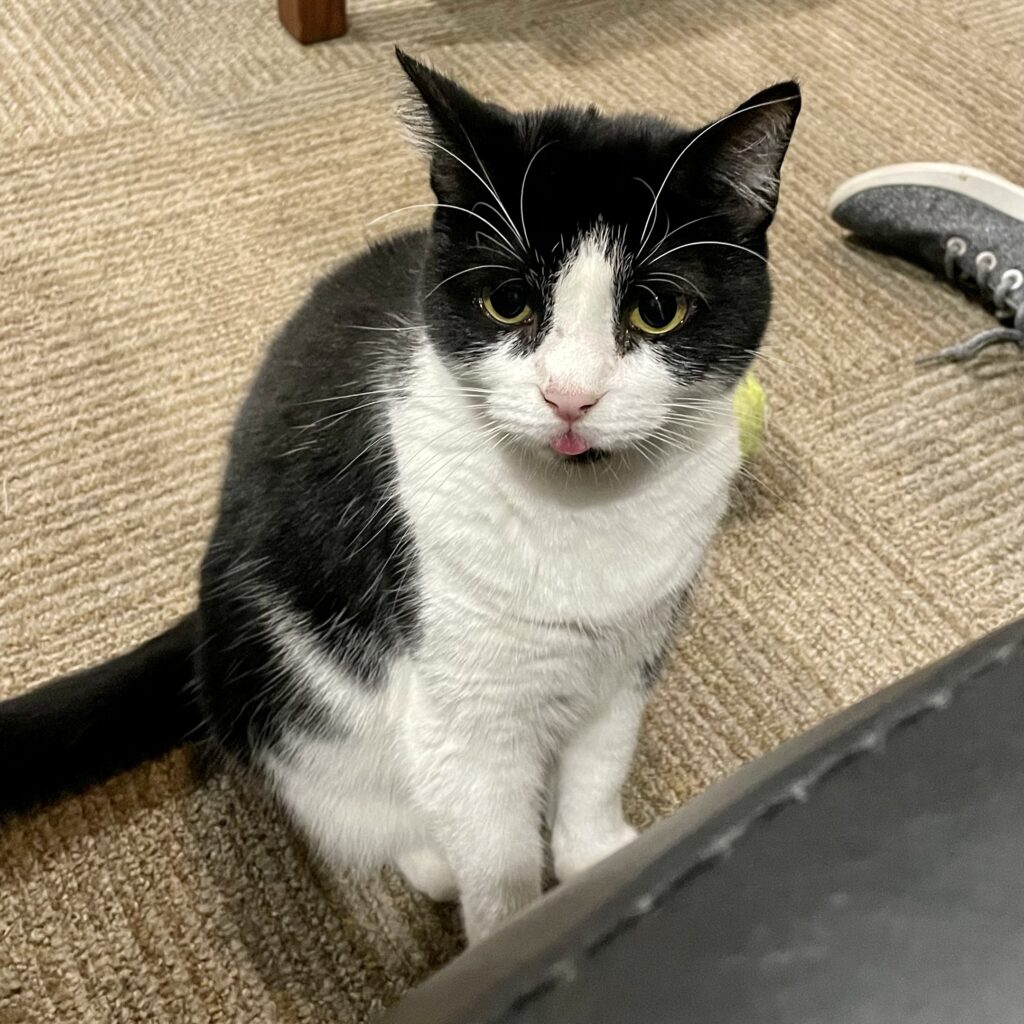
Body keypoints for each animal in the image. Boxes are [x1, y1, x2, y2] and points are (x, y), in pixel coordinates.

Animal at [0, 48, 798, 942]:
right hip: (287, 675)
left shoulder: (631, 654)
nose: (569, 397)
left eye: (656, 310)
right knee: (346, 795)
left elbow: (598, 770)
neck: (582, 510)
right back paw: (425, 856)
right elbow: (499, 862)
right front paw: (517, 931)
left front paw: (602, 861)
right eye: (508, 301)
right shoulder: (464, 710)